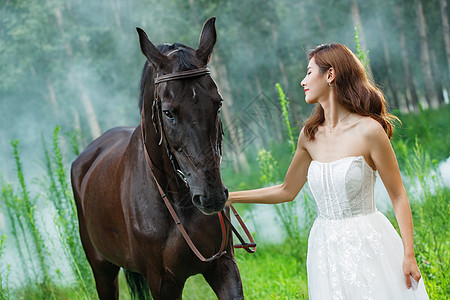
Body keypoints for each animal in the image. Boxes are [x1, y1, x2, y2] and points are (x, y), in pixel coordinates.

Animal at [70, 17, 246, 298]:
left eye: (218, 103)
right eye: (168, 112)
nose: (211, 197)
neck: (178, 200)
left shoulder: (223, 265)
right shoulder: (163, 282)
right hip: (102, 270)